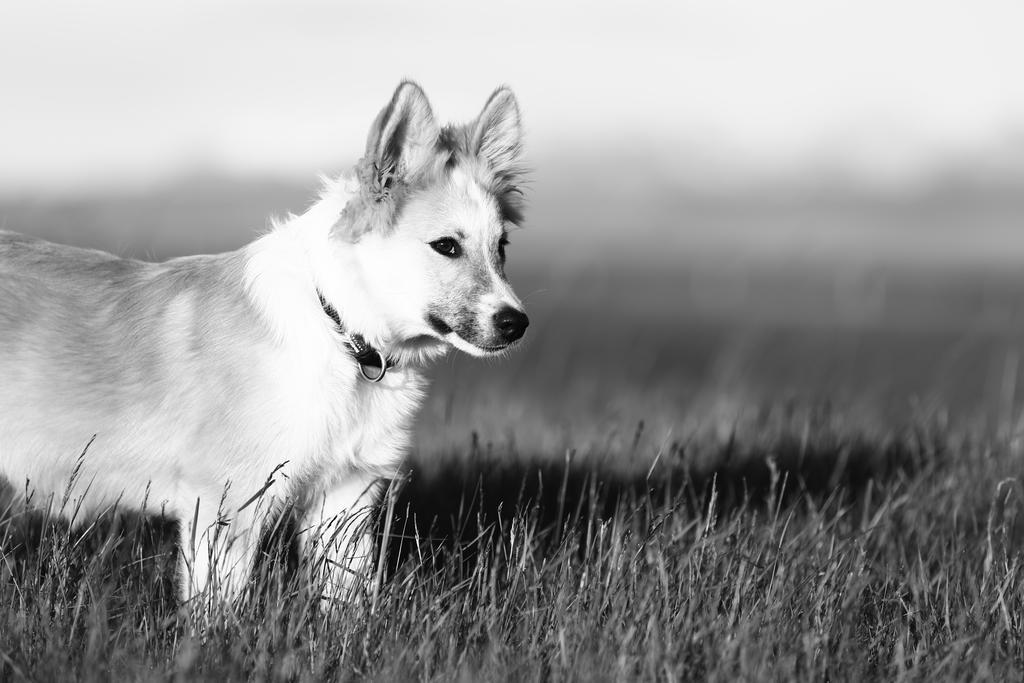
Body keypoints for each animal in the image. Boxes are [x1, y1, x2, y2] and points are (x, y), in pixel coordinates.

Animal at [0, 81, 528, 602]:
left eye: (501, 247)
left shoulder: (345, 495)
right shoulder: (225, 500)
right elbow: (219, 609)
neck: (337, 329)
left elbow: (346, 601)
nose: (516, 324)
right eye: (446, 246)